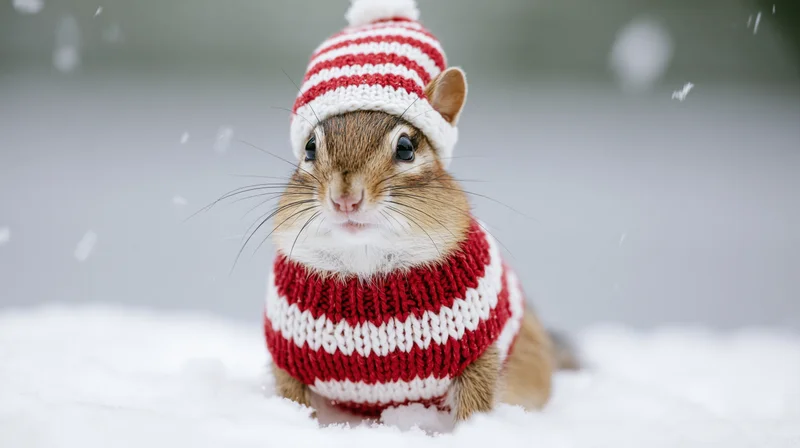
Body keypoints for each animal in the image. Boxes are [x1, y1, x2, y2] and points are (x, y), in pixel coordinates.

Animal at [263, 0, 579, 424]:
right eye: (310, 147)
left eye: (406, 148)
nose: (345, 199)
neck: (366, 262)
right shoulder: (288, 358)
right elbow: (293, 399)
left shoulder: (477, 350)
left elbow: (475, 403)